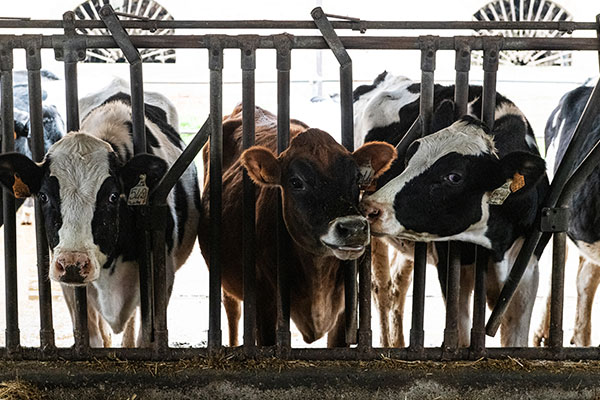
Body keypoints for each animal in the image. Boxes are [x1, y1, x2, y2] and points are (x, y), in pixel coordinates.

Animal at [0, 90, 202, 346]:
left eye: (113, 196)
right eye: (43, 196)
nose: (73, 264)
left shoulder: (161, 278)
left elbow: (145, 338)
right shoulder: (71, 290)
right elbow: (90, 338)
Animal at [198, 104, 398, 346]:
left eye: (356, 179)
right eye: (296, 182)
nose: (353, 229)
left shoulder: (346, 308)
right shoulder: (264, 303)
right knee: (231, 309)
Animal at [352, 70, 544, 346]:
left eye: (454, 177)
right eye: (408, 159)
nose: (371, 207)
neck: (497, 246)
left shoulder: (527, 272)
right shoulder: (453, 268)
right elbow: (460, 337)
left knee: (398, 286)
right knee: (381, 289)